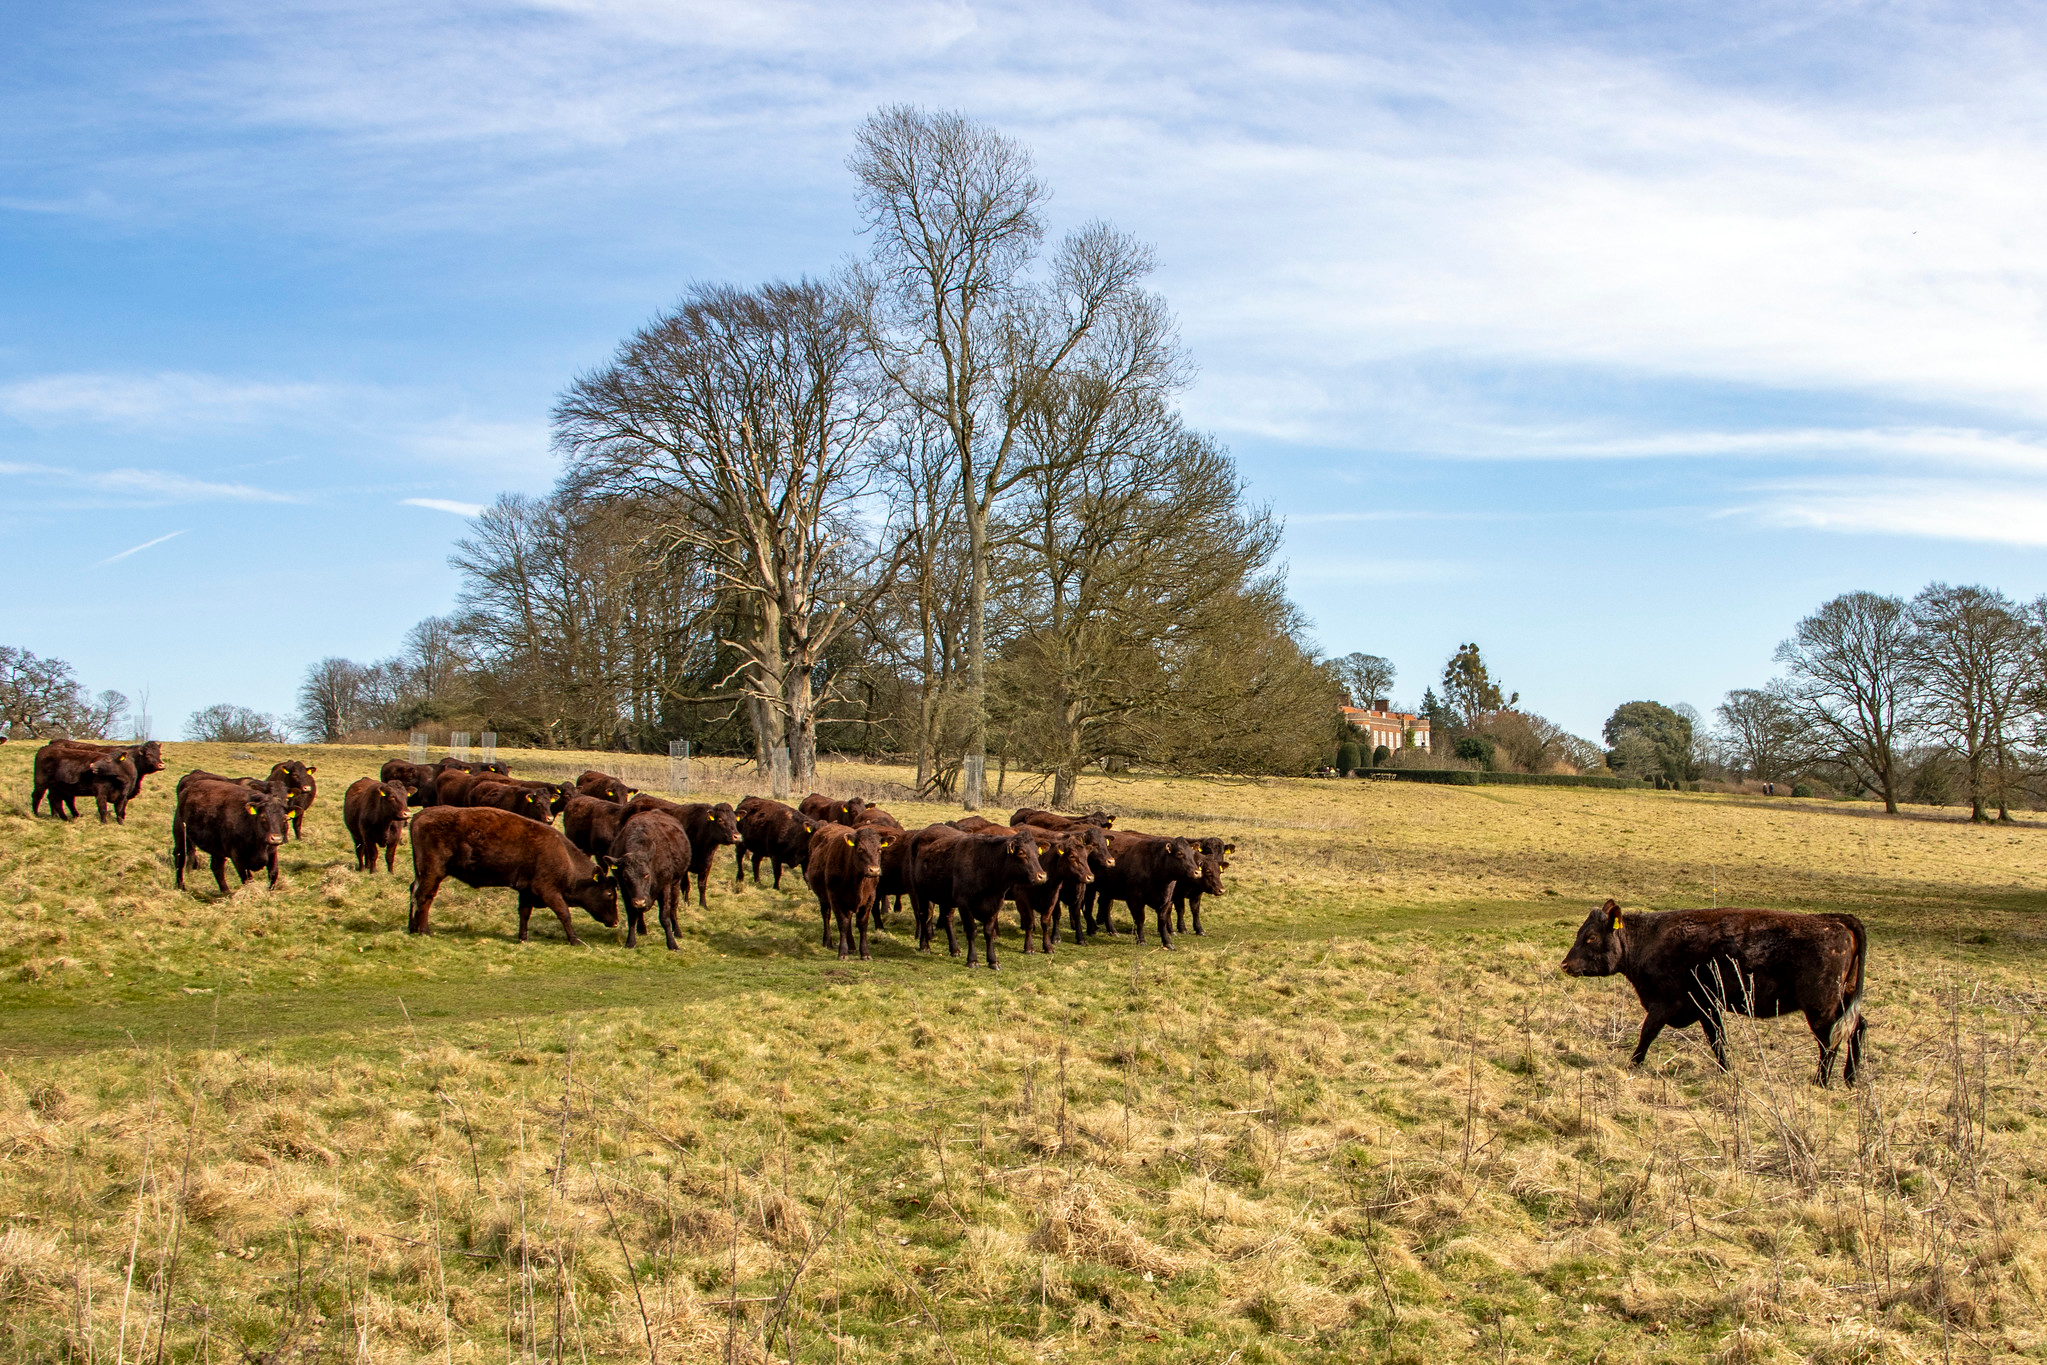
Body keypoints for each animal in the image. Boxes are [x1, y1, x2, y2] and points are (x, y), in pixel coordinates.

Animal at [407, 805, 618, 943]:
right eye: (609, 894)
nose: (615, 922)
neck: (564, 856)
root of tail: (419, 816)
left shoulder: (526, 891)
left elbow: (524, 913)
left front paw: (523, 938)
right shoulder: (548, 891)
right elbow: (564, 914)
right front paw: (575, 940)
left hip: (421, 872)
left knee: (414, 891)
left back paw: (412, 928)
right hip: (434, 872)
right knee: (424, 897)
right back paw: (425, 931)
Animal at [615, 813, 693, 950]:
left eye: (646, 875)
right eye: (625, 877)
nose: (640, 901)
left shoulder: (665, 888)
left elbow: (664, 917)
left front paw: (672, 944)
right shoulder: (626, 892)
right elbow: (632, 916)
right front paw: (630, 942)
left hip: (676, 884)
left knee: (673, 908)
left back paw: (677, 931)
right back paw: (642, 929)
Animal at [805, 822, 891, 960]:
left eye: (879, 849)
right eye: (860, 849)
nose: (874, 870)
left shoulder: (870, 898)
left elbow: (862, 924)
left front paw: (865, 953)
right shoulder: (835, 897)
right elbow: (843, 923)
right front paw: (842, 953)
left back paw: (852, 946)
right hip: (823, 897)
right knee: (826, 915)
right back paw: (828, 942)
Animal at [904, 825, 1047, 969]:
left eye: (1037, 853)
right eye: (1021, 853)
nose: (1041, 876)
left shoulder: (996, 904)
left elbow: (988, 932)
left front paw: (993, 960)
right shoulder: (964, 904)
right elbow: (971, 931)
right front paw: (972, 960)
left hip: (946, 898)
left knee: (947, 919)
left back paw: (955, 950)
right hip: (920, 893)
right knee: (924, 916)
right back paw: (924, 946)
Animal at [1561, 900, 1868, 1085]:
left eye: (1591, 937)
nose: (1566, 964)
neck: (1647, 939)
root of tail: (1837, 921)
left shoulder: (1665, 1004)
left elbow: (1647, 1033)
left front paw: (1633, 1064)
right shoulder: (1707, 1008)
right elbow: (1717, 1041)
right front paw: (1725, 1071)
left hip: (1820, 1009)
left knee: (1829, 1042)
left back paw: (1821, 1081)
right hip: (1841, 1002)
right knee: (1858, 1027)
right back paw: (1850, 1078)